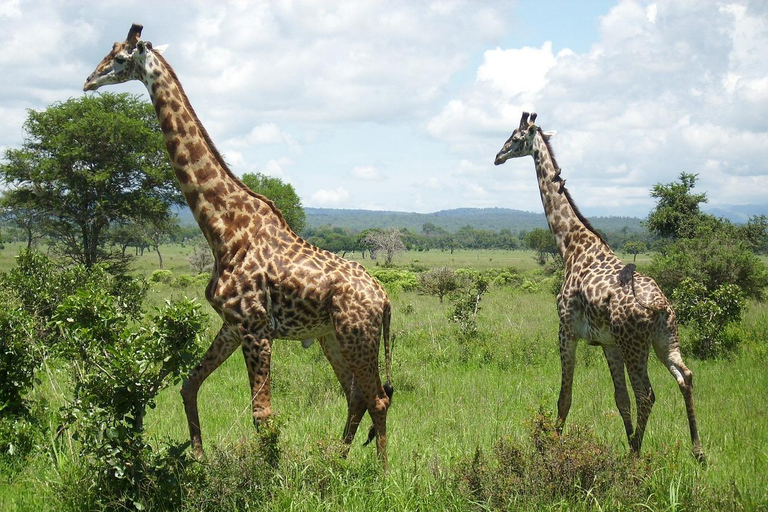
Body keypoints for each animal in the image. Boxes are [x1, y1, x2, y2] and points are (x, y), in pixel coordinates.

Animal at [84, 24, 396, 464]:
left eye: (120, 57)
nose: (88, 81)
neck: (223, 229)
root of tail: (384, 299)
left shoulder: (256, 328)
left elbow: (263, 415)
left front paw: (270, 474)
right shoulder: (232, 325)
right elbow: (189, 384)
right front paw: (198, 457)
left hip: (357, 336)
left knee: (377, 399)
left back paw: (380, 472)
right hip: (331, 337)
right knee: (356, 396)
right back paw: (336, 461)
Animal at [496, 113, 704, 464]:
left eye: (515, 137)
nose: (498, 156)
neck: (570, 246)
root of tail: (661, 306)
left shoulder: (566, 331)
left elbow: (565, 397)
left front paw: (553, 448)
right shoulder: (608, 343)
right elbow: (620, 399)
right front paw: (629, 442)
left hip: (636, 345)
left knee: (647, 394)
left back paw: (637, 459)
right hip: (665, 340)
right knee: (684, 377)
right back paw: (696, 452)